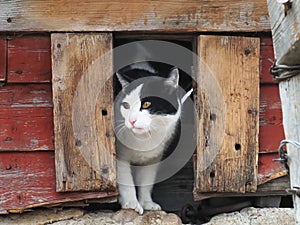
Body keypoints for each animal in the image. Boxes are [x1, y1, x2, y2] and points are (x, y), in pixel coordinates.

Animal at [115, 62, 192, 214]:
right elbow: (125, 179)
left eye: (146, 104)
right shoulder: (119, 155)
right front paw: (131, 203)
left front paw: (147, 203)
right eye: (126, 105)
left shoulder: (154, 158)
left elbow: (147, 181)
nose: (131, 121)